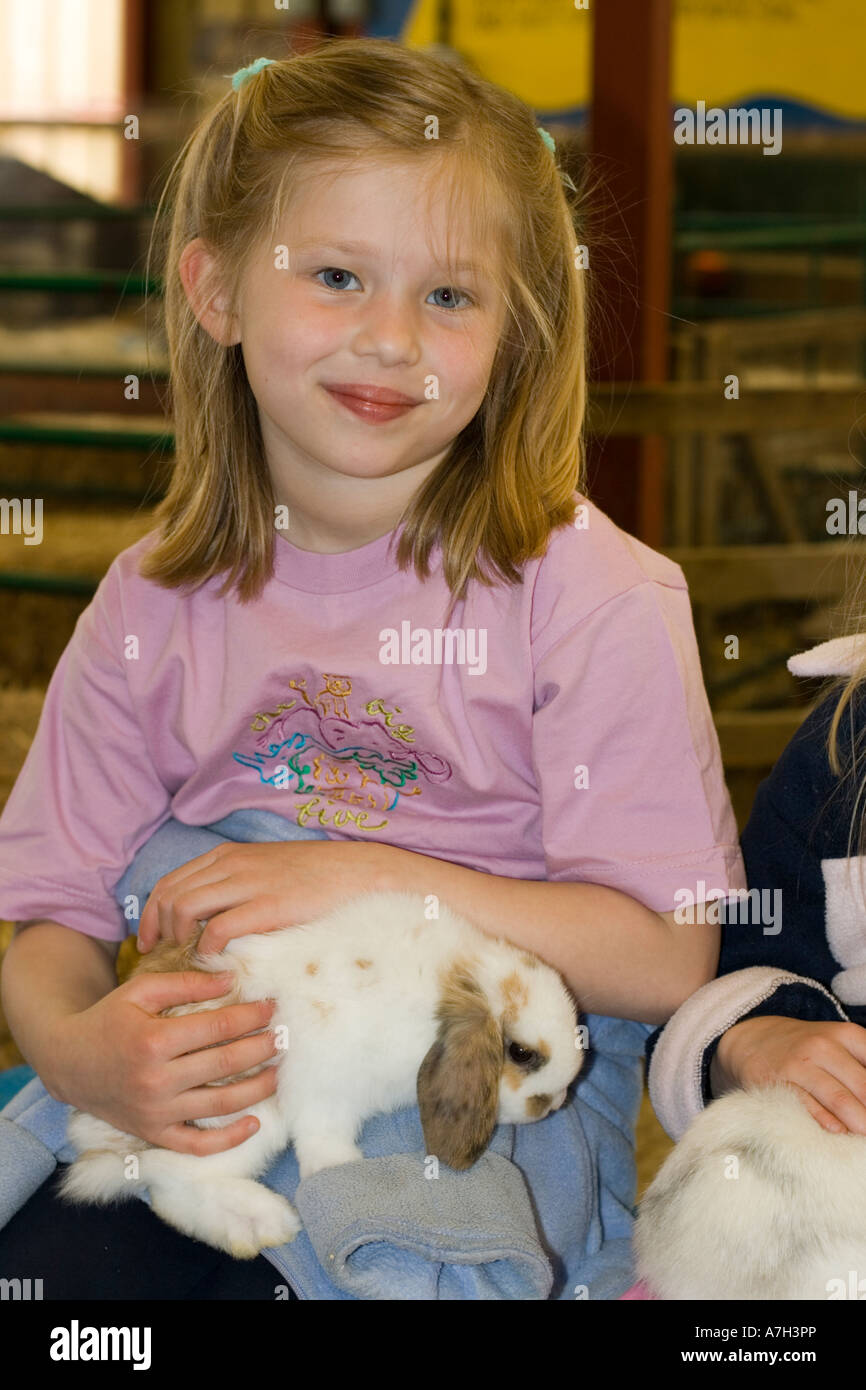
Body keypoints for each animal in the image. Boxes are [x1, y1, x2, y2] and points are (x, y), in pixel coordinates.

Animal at [58, 888, 583, 1259]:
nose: (556, 1103)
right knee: (169, 1182)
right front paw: (339, 1168)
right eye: (520, 1052)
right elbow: (321, 1139)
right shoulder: (324, 1087)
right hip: (244, 1118)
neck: (444, 988)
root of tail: (98, 1135)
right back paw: (267, 1223)